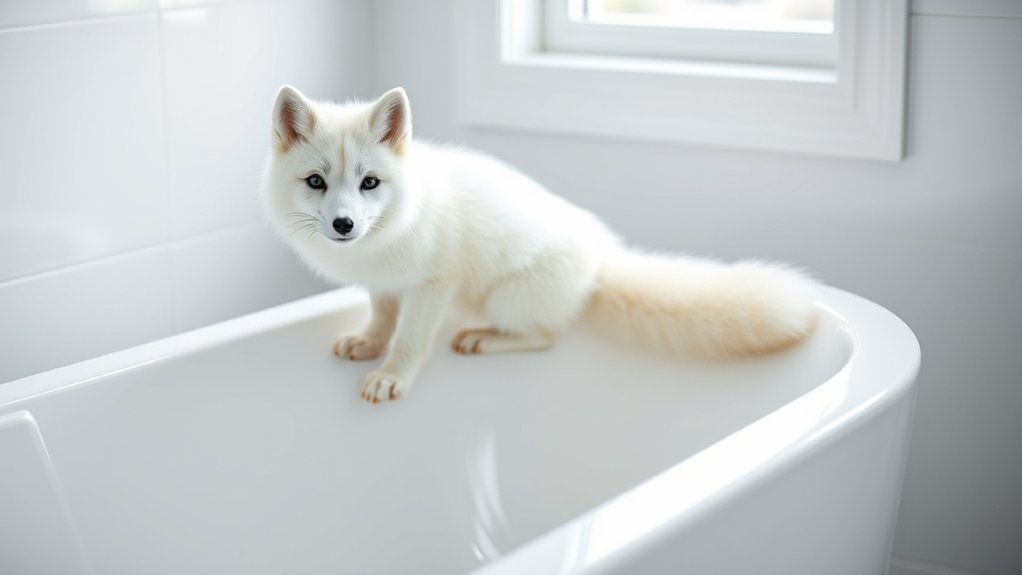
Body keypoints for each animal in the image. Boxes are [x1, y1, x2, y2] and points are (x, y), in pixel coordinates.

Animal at [260, 86, 820, 404]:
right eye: (316, 182)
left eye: (370, 183)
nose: (344, 225)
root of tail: (600, 258)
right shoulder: (386, 284)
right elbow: (381, 320)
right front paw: (369, 343)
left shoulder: (434, 285)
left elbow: (411, 341)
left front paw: (392, 376)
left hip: (505, 298)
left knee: (546, 337)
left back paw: (484, 339)